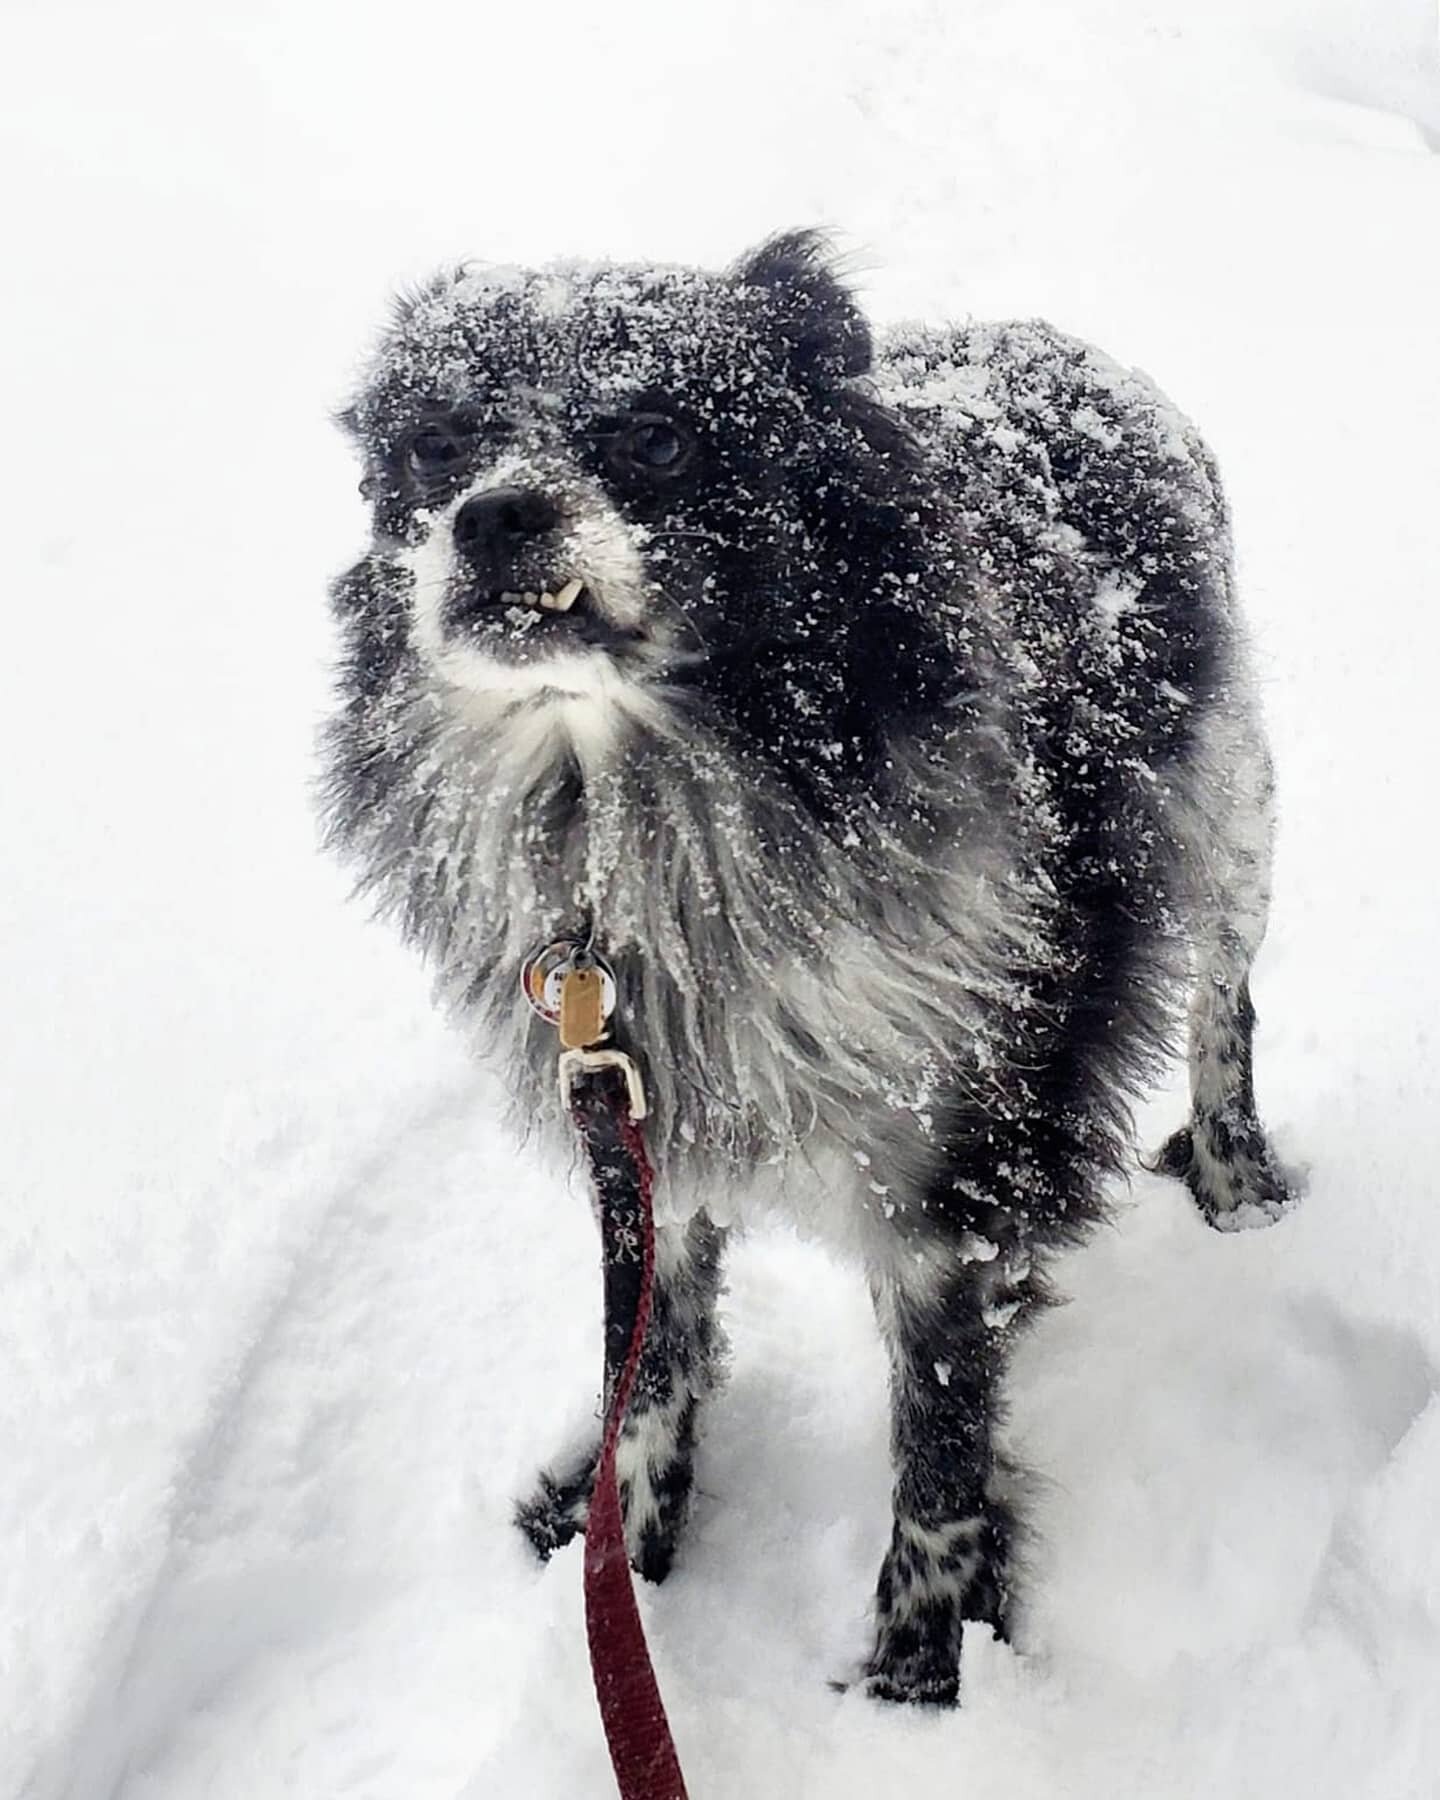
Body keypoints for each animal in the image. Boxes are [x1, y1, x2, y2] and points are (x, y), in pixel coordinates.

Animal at [324, 232, 1296, 1706]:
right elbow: (651, 1370)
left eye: (658, 435)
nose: (492, 517)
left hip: (1226, 815)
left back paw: (1235, 1178)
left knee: (1221, 1002)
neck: (630, 818)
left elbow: (939, 1455)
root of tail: (1053, 343)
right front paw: (627, 1561)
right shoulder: (639, 1135)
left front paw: (917, 1680)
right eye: (435, 443)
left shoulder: (949, 1163)